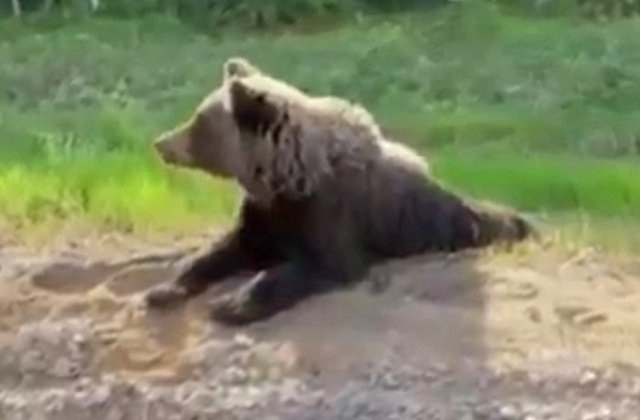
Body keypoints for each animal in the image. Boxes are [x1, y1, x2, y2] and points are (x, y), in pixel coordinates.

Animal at [145, 57, 535, 326]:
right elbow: (220, 251)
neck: (285, 181)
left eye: (199, 122)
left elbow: (317, 265)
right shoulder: (263, 217)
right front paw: (164, 290)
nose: (161, 143)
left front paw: (234, 305)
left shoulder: (329, 215)